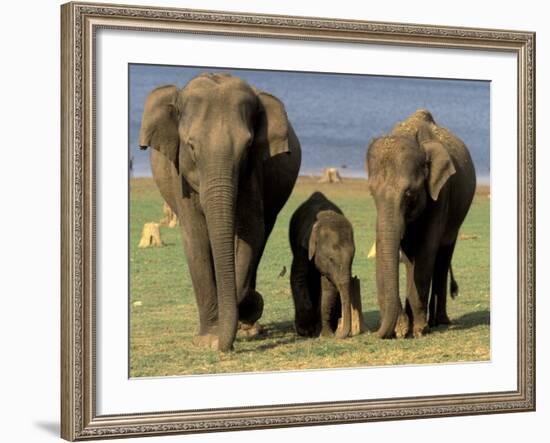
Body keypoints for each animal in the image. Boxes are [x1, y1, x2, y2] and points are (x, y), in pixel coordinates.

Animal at [138, 75, 302, 354]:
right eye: (191, 146)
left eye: (248, 146)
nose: (220, 345)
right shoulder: (179, 177)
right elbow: (196, 238)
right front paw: (207, 340)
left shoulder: (253, 173)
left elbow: (251, 231)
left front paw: (247, 309)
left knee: (263, 233)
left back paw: (249, 326)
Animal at [288, 192, 362, 340]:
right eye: (331, 259)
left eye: (352, 260)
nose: (338, 334)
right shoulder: (302, 247)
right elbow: (298, 278)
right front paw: (307, 331)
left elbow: (328, 289)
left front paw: (325, 334)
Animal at [366, 110, 478, 340]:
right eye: (371, 193)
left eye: (409, 194)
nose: (376, 332)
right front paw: (406, 328)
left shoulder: (441, 193)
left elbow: (426, 251)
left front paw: (418, 330)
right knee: (413, 259)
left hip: (456, 219)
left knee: (443, 256)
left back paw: (439, 321)